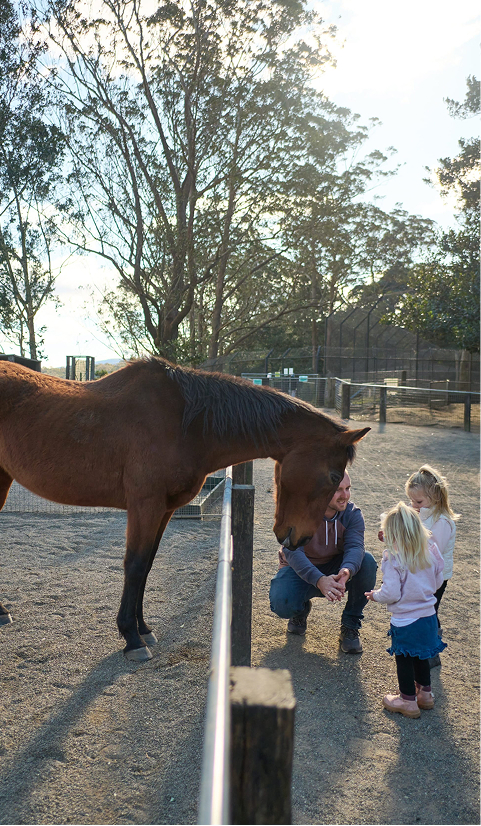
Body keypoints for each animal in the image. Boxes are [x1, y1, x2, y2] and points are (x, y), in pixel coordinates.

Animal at [0, 357, 370, 660]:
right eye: (333, 476)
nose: (300, 539)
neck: (184, 424)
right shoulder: (145, 506)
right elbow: (135, 566)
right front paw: (131, 639)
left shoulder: (164, 510)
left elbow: (147, 566)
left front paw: (143, 629)